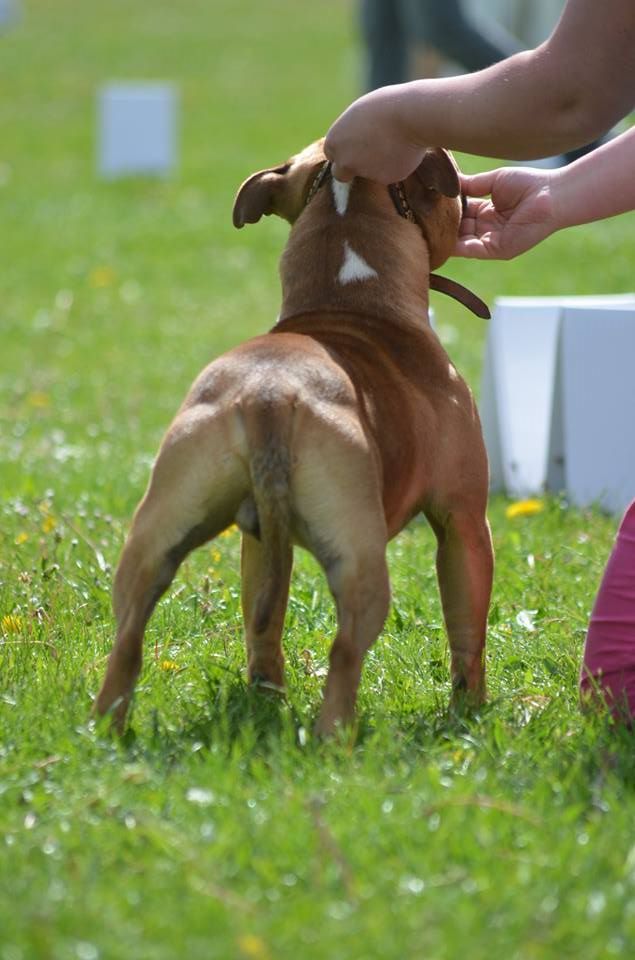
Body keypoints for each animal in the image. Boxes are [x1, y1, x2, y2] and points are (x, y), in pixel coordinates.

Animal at [94, 137, 494, 736]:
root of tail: (269, 394)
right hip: (362, 558)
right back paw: (337, 740)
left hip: (155, 536)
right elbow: (468, 632)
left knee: (131, 640)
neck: (348, 295)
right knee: (346, 652)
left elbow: (265, 617)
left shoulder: (257, 540)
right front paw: (470, 714)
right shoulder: (463, 521)